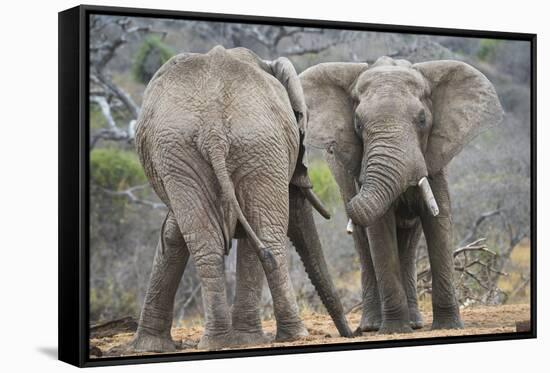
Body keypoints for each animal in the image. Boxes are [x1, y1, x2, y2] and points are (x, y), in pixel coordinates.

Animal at [131, 45, 352, 350]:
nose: (351, 333)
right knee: (263, 233)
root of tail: (212, 127)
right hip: (244, 146)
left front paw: (148, 346)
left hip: (198, 150)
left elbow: (173, 234)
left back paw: (221, 341)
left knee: (211, 240)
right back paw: (287, 336)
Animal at [302, 56, 504, 334]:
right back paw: (373, 326)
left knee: (409, 242)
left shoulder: (434, 160)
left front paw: (449, 326)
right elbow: (379, 230)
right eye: (358, 124)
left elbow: (439, 221)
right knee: (364, 244)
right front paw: (395, 330)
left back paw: (415, 323)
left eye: (422, 120)